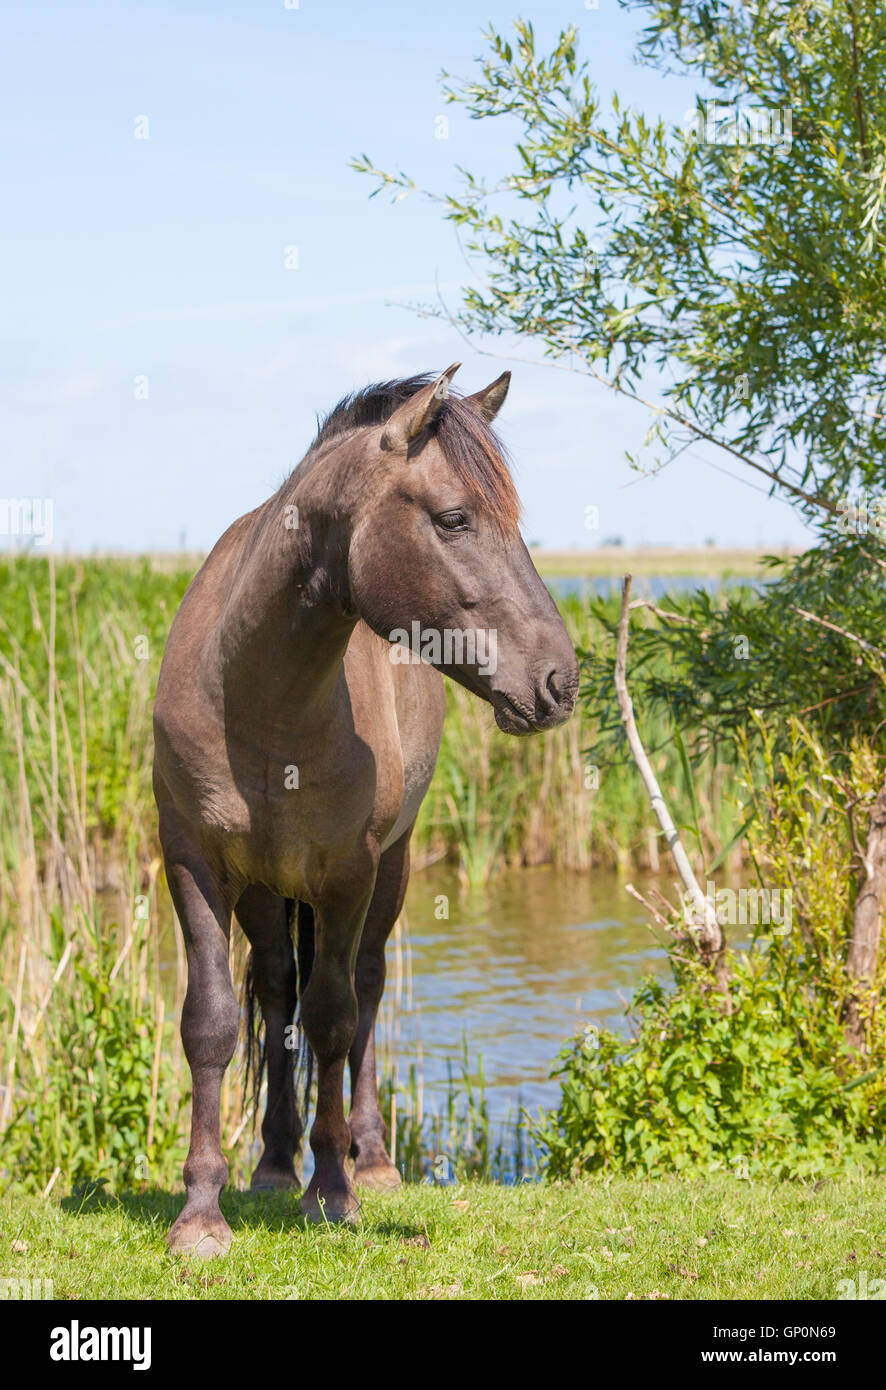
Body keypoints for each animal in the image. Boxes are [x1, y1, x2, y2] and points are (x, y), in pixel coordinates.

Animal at [152, 364, 575, 1256]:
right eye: (454, 518)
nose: (561, 681)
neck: (260, 699)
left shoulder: (349, 873)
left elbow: (337, 1018)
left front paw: (335, 1190)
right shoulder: (194, 861)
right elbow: (213, 1023)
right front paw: (202, 1212)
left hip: (393, 867)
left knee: (368, 989)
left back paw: (370, 1158)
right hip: (265, 890)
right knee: (278, 990)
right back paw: (273, 1164)